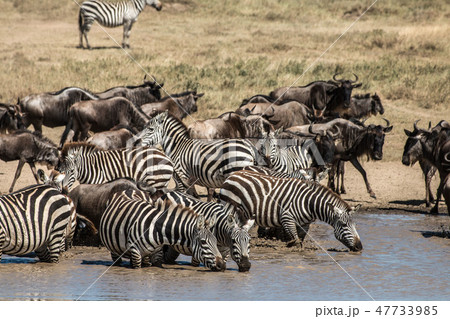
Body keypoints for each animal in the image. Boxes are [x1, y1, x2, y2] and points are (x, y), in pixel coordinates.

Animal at [220, 170, 364, 252]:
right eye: (344, 225)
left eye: (355, 225)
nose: (359, 247)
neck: (309, 203)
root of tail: (232, 175)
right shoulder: (286, 218)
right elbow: (295, 240)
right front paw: (289, 246)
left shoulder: (305, 224)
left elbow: (300, 240)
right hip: (228, 206)